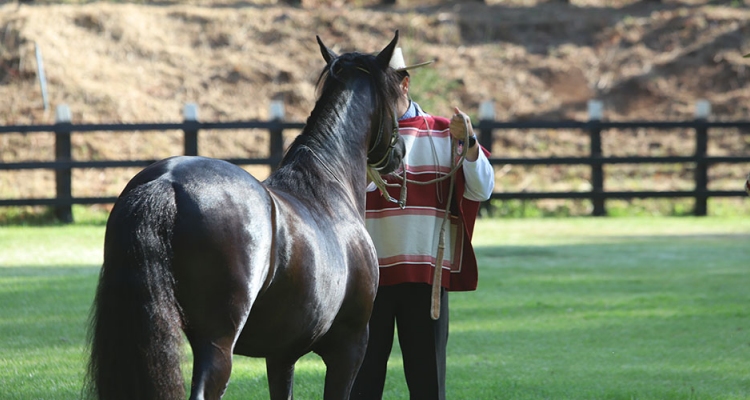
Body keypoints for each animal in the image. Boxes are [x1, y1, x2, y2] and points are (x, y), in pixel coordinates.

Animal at [83, 32, 406, 400]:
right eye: (398, 92)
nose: (400, 152)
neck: (328, 184)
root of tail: (166, 181)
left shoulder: (282, 355)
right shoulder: (349, 347)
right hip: (218, 343)